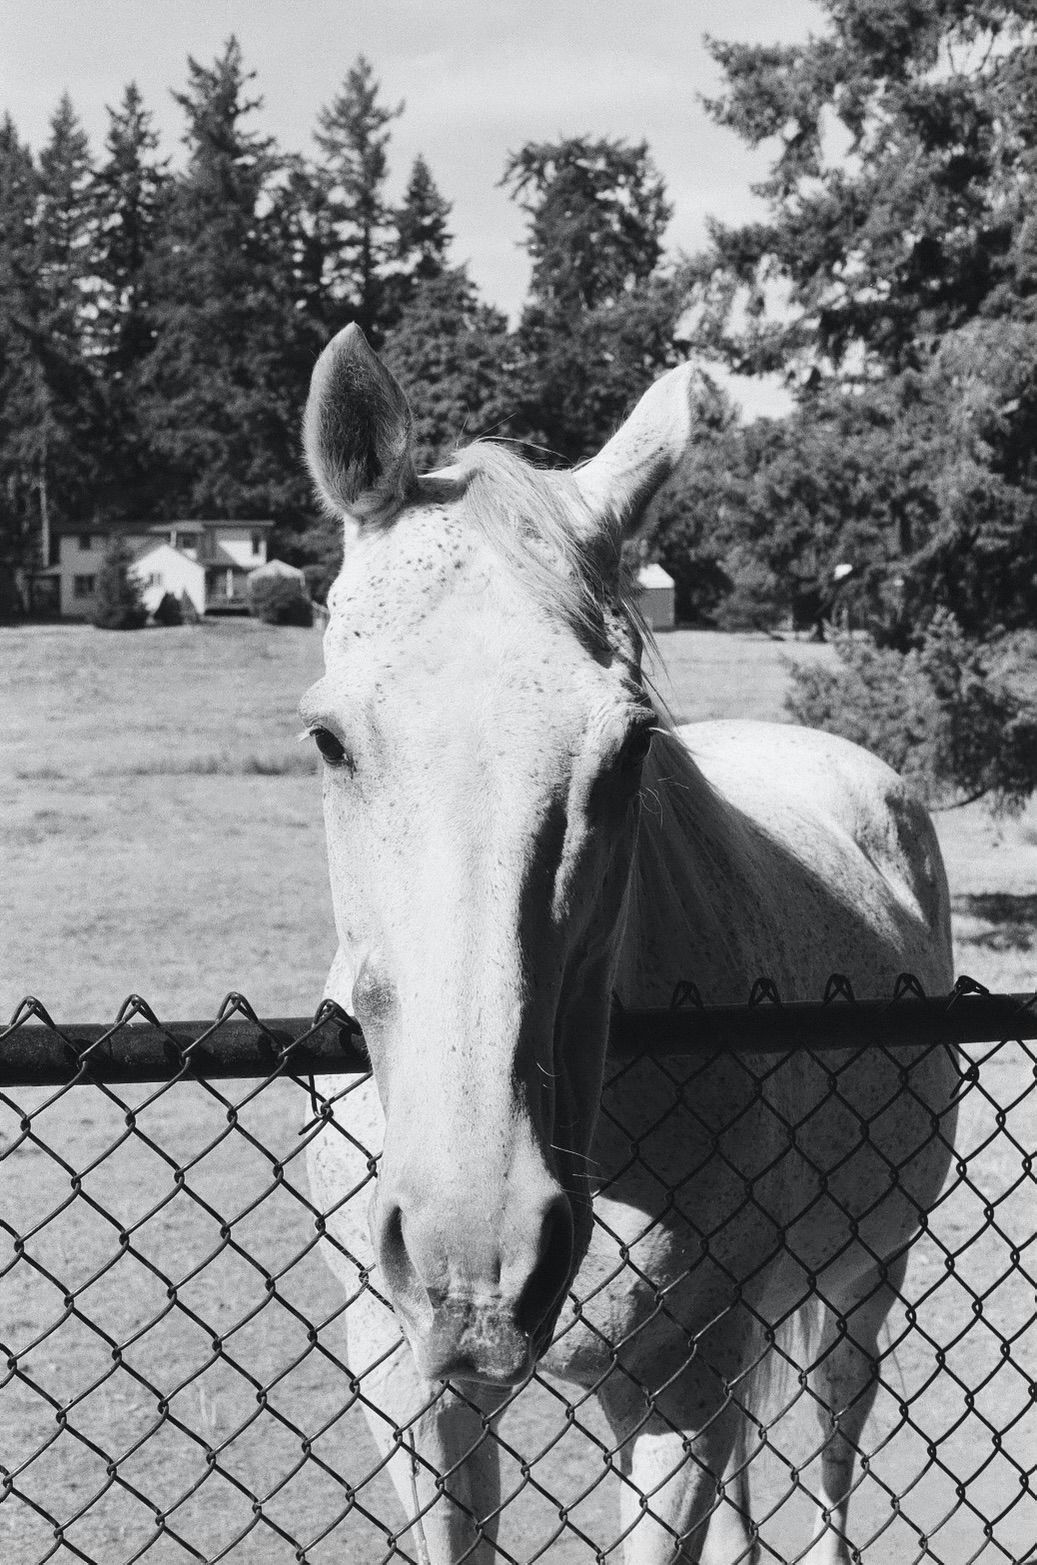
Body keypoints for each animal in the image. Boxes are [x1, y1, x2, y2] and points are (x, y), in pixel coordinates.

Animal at [298, 323, 957, 1558]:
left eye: (630, 748)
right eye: (327, 738)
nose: (476, 1265)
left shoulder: (674, 1390)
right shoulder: (415, 1401)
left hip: (864, 1274)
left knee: (830, 1456)